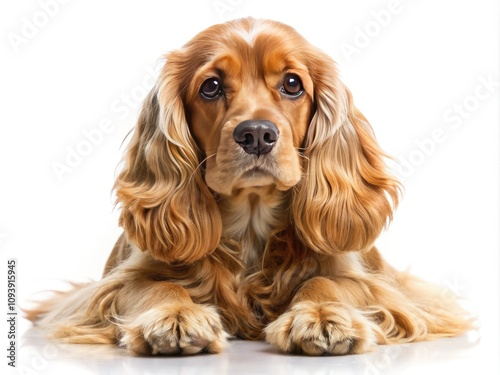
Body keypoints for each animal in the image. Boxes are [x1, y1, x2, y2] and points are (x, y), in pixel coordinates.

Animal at [29, 17, 470, 356]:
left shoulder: (375, 287)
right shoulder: (109, 286)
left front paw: (322, 315)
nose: (256, 134)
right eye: (210, 86)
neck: (251, 223)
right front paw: (175, 315)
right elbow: (156, 286)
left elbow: (327, 281)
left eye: (292, 83)